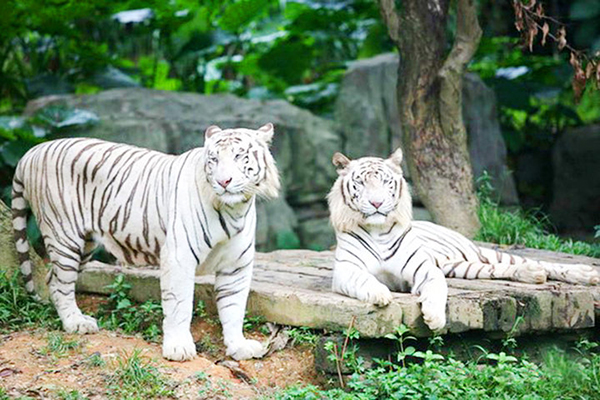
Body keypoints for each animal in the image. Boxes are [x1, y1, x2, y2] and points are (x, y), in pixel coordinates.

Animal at [11, 124, 278, 362]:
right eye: (213, 159)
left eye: (239, 156)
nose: (224, 182)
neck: (234, 210)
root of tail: (32, 151)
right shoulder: (179, 256)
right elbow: (180, 304)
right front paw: (178, 348)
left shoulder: (236, 265)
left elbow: (234, 307)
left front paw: (239, 346)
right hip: (64, 235)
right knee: (60, 282)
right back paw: (76, 323)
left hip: (84, 243)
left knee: (52, 280)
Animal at [328, 148, 600, 330]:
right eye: (361, 183)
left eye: (386, 182)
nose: (377, 203)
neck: (378, 230)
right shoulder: (346, 270)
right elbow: (365, 280)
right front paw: (380, 294)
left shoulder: (426, 269)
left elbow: (437, 288)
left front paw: (435, 318)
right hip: (458, 265)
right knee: (498, 269)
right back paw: (532, 274)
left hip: (477, 252)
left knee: (538, 262)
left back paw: (586, 274)